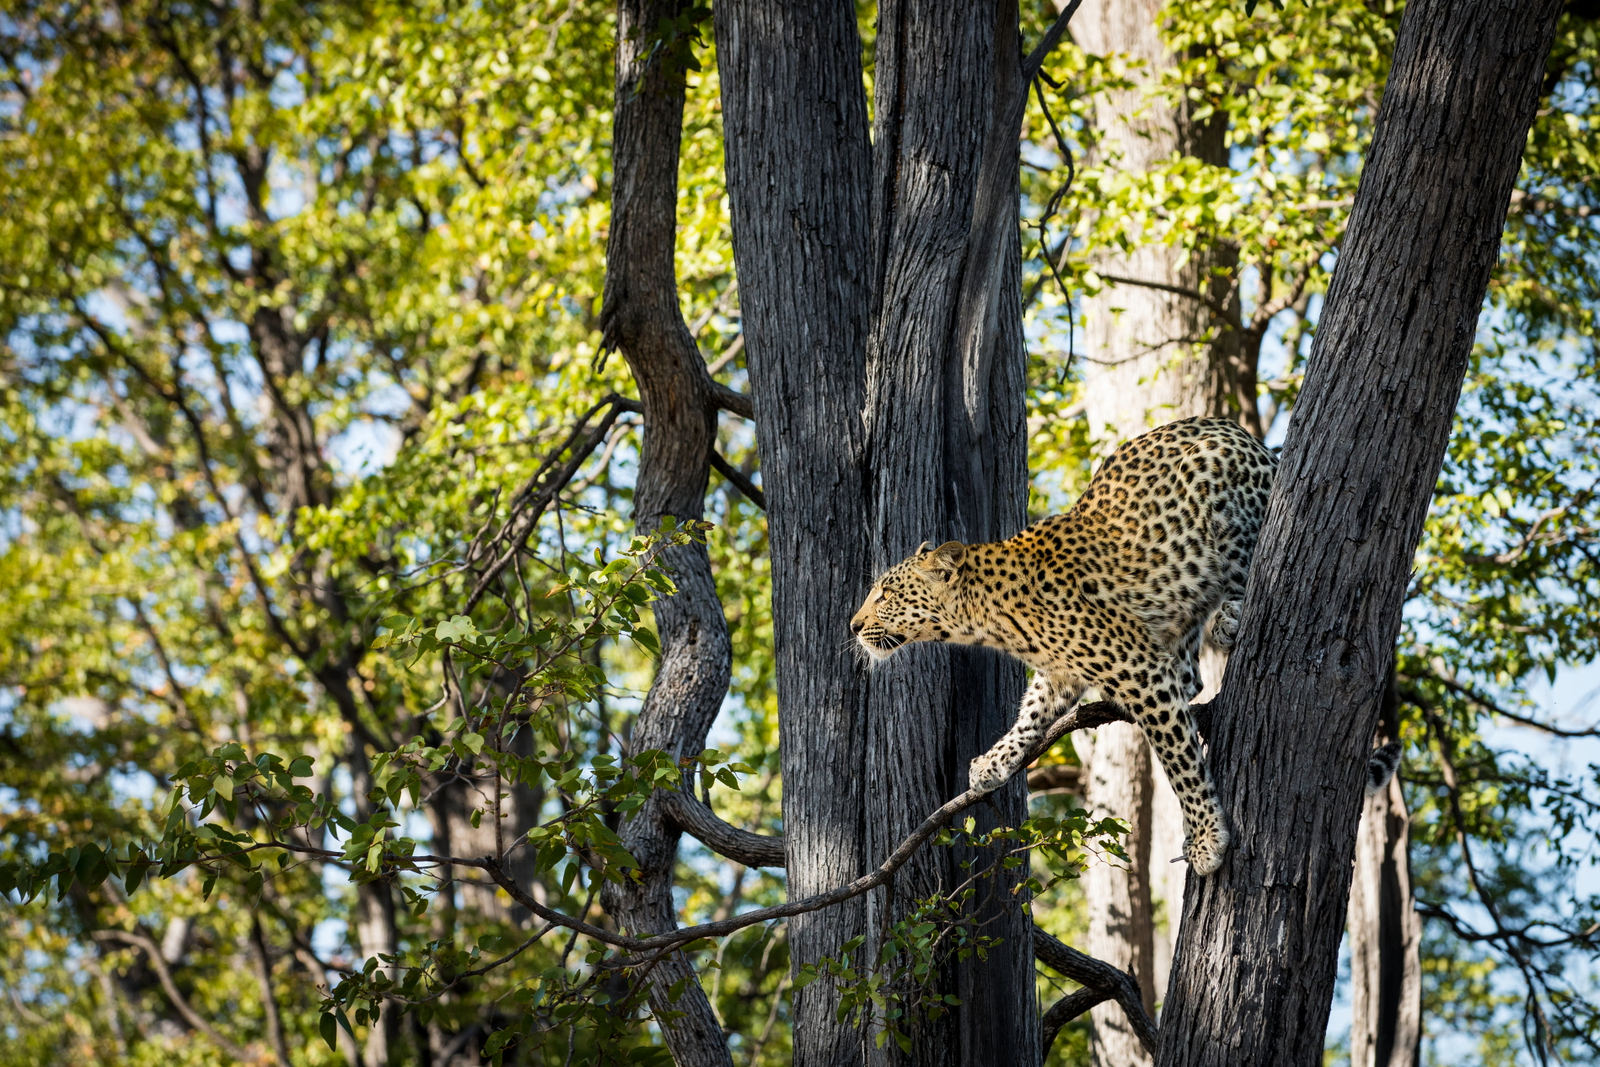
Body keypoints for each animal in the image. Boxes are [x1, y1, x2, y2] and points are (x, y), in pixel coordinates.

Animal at [849, 416, 1277, 875]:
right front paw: (994, 761)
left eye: (886, 595)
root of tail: (1245, 436)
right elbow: (1032, 710)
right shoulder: (1061, 669)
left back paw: (1232, 617)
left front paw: (1206, 836)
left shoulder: (1141, 672)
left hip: (1220, 496)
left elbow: (1179, 761)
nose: (854, 626)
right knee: (1191, 676)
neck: (987, 617)